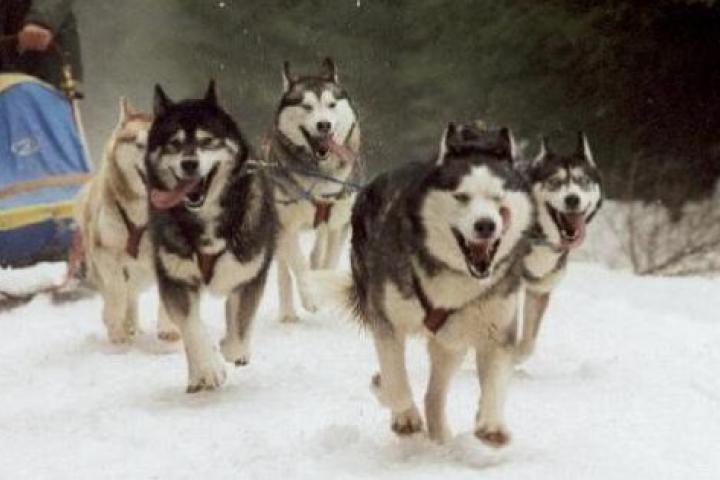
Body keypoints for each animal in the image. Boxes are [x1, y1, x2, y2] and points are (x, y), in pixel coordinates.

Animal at [74, 98, 180, 344]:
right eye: (139, 144)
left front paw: (168, 327)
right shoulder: (106, 252)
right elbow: (116, 291)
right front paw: (115, 326)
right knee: (120, 293)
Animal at [144, 81, 277, 392]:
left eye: (206, 141)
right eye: (174, 144)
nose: (189, 163)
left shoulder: (250, 272)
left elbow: (239, 323)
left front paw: (232, 348)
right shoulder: (177, 278)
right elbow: (192, 328)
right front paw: (208, 368)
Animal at [266, 57, 361, 323]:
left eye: (331, 104)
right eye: (306, 106)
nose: (324, 125)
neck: (319, 172)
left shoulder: (340, 223)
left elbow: (329, 261)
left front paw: (323, 285)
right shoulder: (285, 226)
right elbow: (298, 265)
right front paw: (310, 298)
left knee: (318, 251)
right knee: (285, 271)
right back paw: (288, 312)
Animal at [315, 122, 535, 446]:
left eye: (498, 197)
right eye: (461, 196)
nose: (486, 225)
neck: (452, 274)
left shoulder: (496, 330)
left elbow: (495, 381)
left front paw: (491, 424)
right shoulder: (386, 322)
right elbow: (395, 378)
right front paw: (404, 414)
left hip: (451, 341)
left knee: (434, 395)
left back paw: (441, 436)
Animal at [514, 132, 602, 364]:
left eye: (583, 181)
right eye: (554, 182)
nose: (572, 199)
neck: (537, 235)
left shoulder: (539, 289)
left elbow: (527, 345)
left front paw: (513, 357)